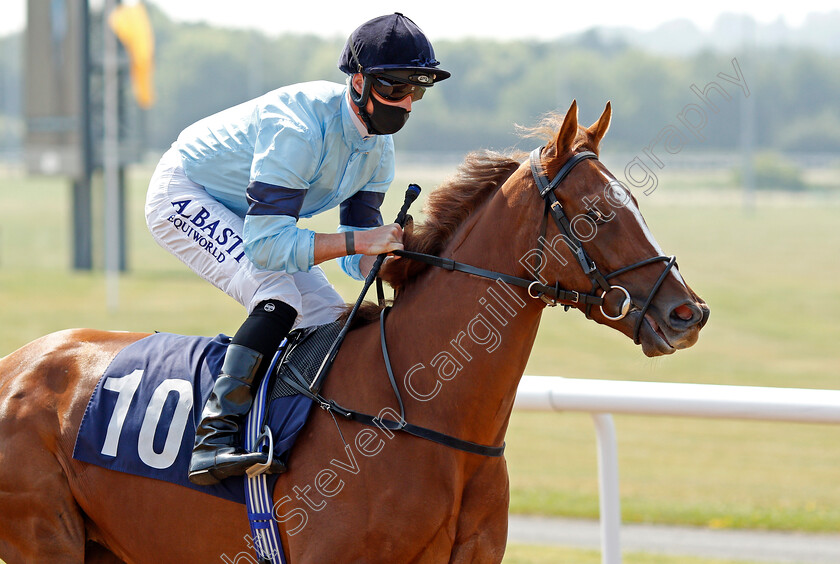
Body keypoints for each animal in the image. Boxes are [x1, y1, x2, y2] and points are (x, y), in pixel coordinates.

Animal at [0, 102, 708, 564]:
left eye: (637, 205)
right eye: (595, 213)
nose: (688, 314)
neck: (423, 413)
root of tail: (18, 363)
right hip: (43, 538)